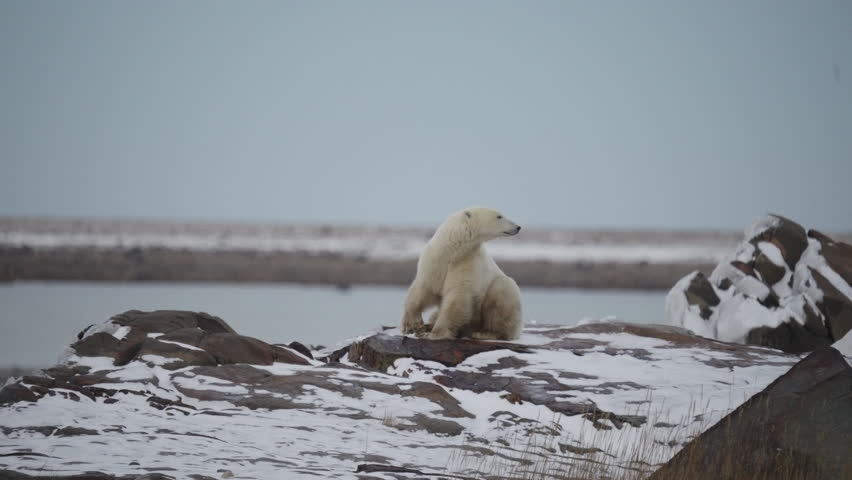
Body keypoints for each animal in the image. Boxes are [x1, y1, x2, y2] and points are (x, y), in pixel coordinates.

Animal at [401, 207, 524, 340]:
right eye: (499, 216)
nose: (518, 227)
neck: (453, 250)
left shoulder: (467, 263)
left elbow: (456, 297)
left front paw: (433, 334)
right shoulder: (434, 261)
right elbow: (424, 289)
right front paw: (412, 326)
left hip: (498, 292)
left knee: (501, 291)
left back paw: (485, 333)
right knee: (435, 313)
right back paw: (428, 325)